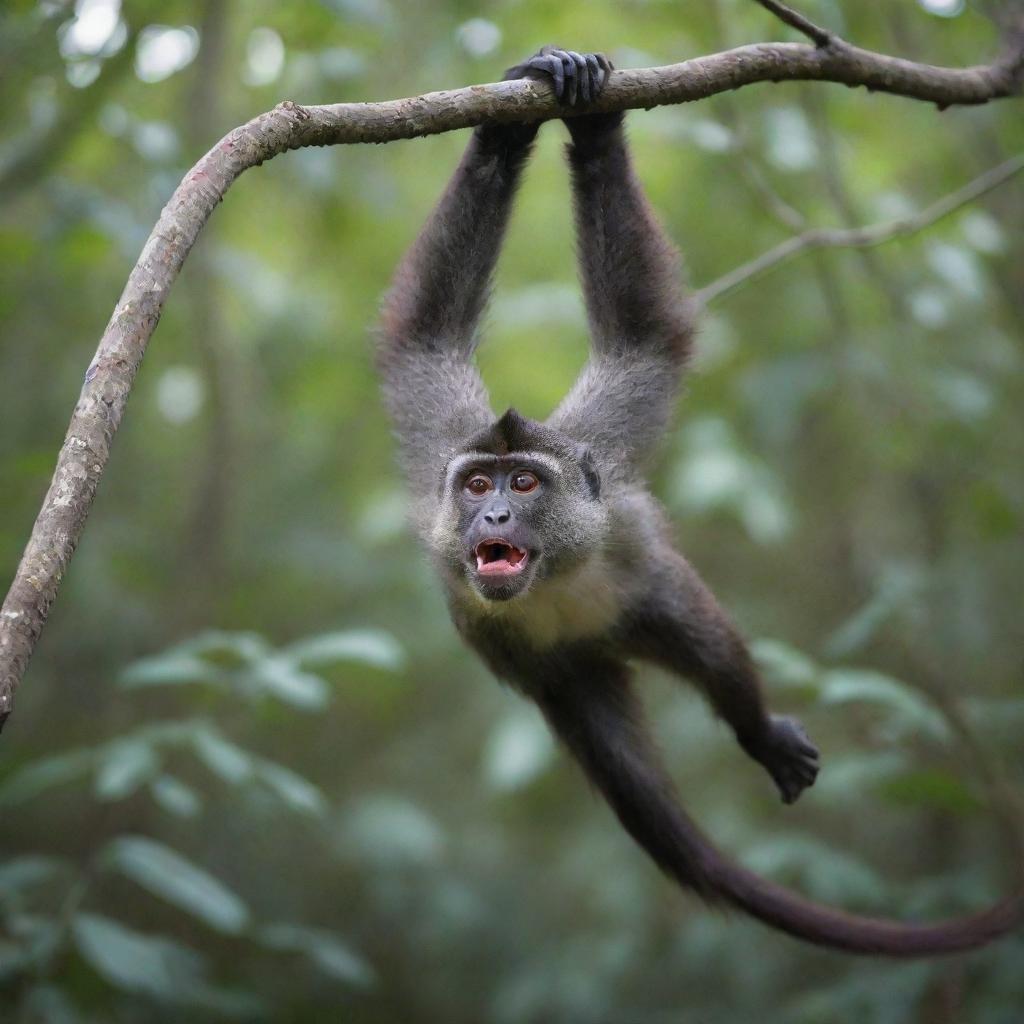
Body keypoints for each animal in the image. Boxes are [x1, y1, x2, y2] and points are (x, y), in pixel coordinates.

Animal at [376, 49, 1024, 958]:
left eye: (523, 483)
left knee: (710, 650)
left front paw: (585, 119)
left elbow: (640, 334)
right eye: (476, 484)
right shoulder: (442, 438)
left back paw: (757, 734)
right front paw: (511, 127)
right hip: (566, 674)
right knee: (637, 791)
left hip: (644, 607)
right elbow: (425, 333)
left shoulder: (604, 457)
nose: (492, 518)